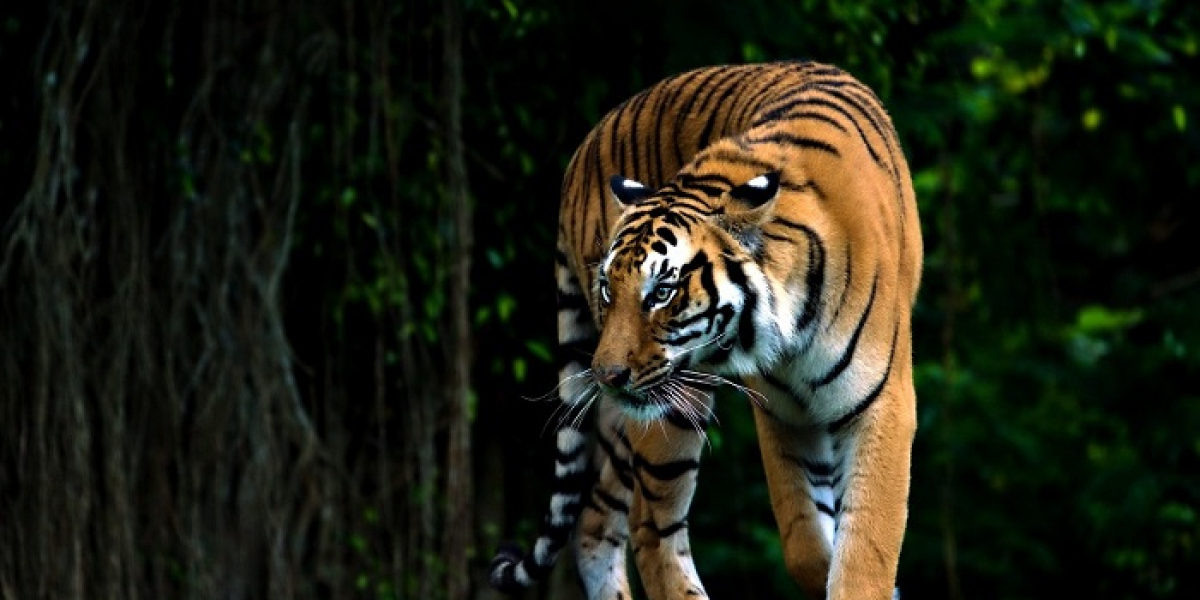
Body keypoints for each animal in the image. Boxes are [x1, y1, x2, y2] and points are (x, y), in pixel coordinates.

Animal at [489, 59, 922, 600]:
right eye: (610, 288)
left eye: (661, 292)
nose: (606, 375)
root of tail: (581, 153)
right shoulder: (781, 411)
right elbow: (803, 541)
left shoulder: (879, 404)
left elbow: (862, 551)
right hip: (671, 405)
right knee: (649, 528)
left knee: (594, 519)